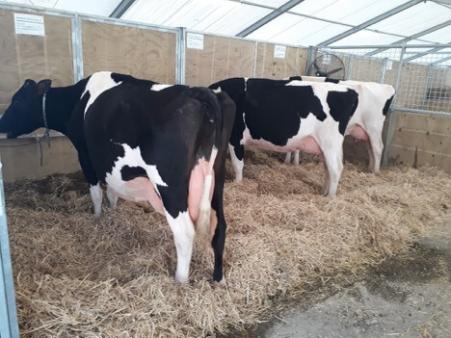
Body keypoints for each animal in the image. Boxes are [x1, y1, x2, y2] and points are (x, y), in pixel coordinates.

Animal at [0, 72, 238, 282]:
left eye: (18, 100)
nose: (1, 124)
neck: (78, 100)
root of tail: (201, 92)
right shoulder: (110, 164)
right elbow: (113, 191)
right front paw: (112, 214)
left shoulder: (86, 155)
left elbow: (96, 193)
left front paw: (97, 218)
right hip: (217, 179)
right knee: (220, 227)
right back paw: (217, 278)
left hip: (170, 187)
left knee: (185, 233)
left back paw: (180, 279)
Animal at [211, 78, 360, 197]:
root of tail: (350, 91)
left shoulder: (235, 137)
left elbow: (238, 164)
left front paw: (237, 183)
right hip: (327, 147)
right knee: (328, 169)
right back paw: (324, 192)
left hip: (330, 143)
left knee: (335, 169)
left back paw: (330, 197)